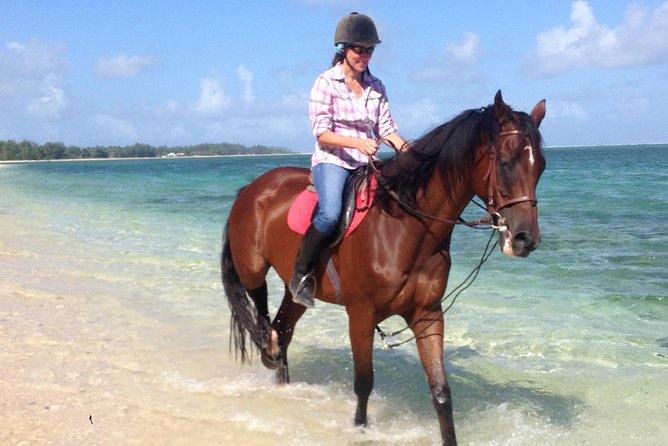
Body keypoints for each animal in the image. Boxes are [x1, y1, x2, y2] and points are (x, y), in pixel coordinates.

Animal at [221, 90, 546, 445]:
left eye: (541, 167)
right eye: (505, 162)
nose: (525, 239)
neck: (404, 227)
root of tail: (251, 189)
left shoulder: (428, 315)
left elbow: (441, 392)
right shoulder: (361, 316)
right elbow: (364, 383)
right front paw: (360, 430)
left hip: (298, 295)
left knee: (284, 329)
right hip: (252, 268)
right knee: (262, 310)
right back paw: (266, 342)